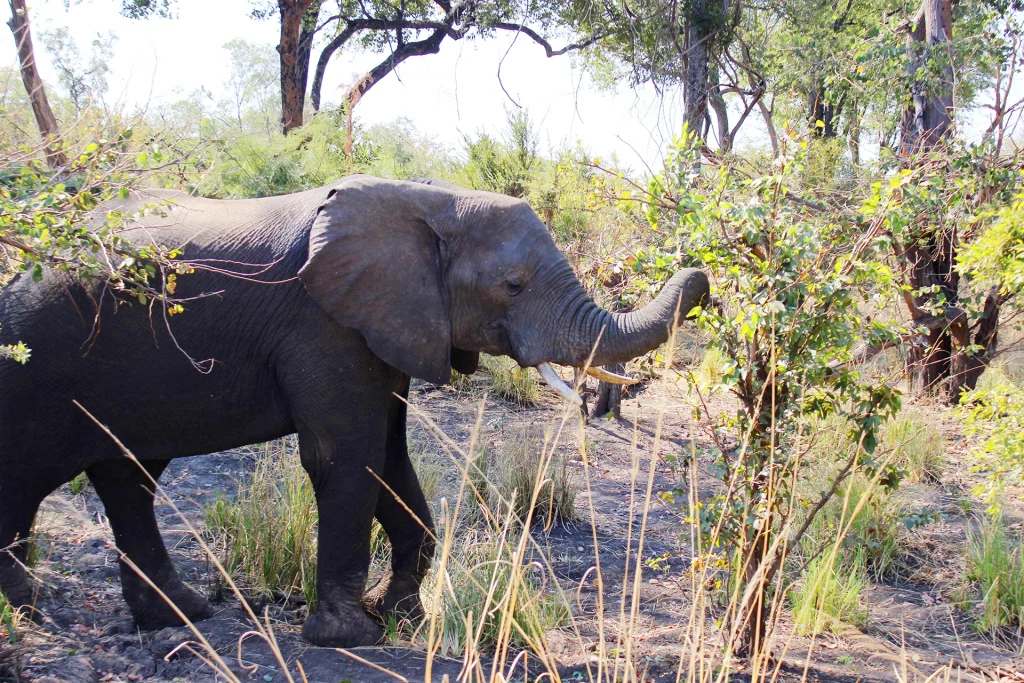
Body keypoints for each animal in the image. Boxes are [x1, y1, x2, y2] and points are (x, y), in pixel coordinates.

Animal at [0, 175, 708, 647]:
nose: (700, 274)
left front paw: (402, 617)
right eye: (513, 286)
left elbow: (389, 460)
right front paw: (349, 638)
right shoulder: (323, 322)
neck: (427, 200)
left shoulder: (388, 322)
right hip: (36, 366)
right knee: (25, 480)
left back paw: (182, 616)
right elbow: (347, 458)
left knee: (129, 478)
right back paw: (29, 611)